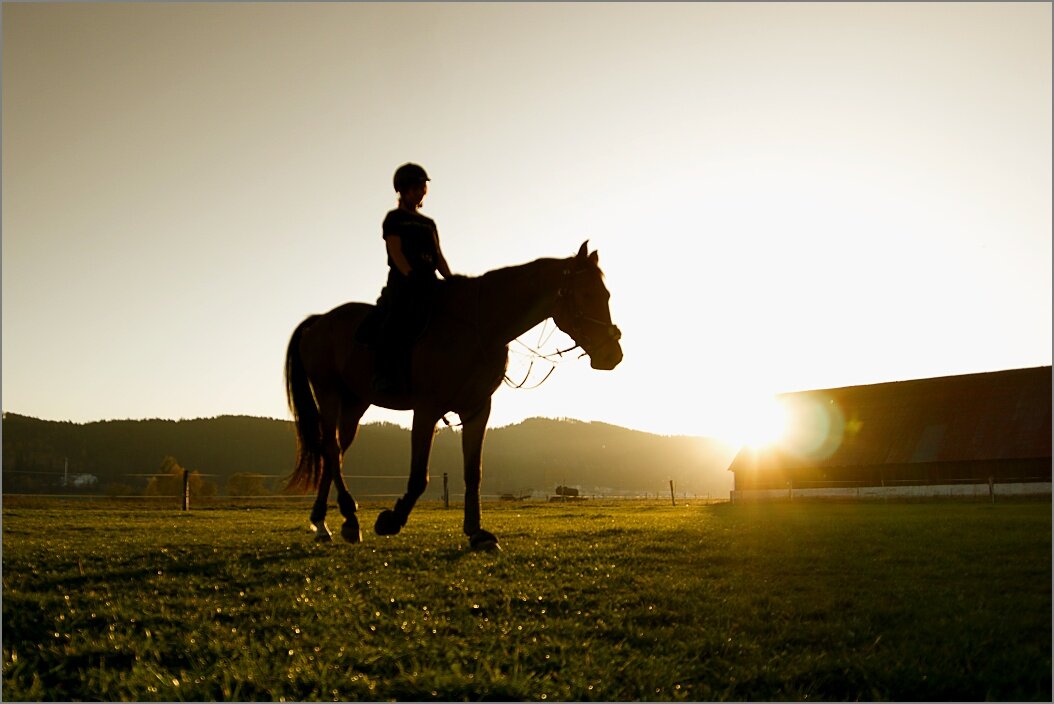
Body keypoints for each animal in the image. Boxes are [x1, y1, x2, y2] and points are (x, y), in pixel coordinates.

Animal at [284, 242, 619, 548]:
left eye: (606, 295)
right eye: (587, 295)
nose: (613, 354)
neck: (478, 328)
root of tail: (320, 321)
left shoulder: (477, 410)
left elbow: (473, 472)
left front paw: (477, 532)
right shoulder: (427, 409)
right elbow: (420, 475)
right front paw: (392, 520)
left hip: (355, 403)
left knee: (335, 452)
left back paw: (327, 522)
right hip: (329, 393)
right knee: (331, 448)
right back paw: (346, 519)